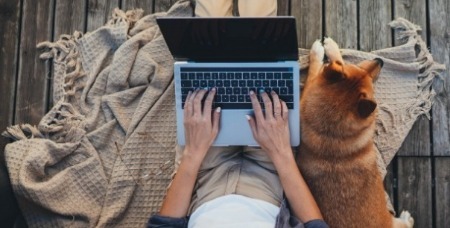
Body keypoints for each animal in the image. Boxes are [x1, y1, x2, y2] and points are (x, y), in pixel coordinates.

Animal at [298, 37, 414, 228]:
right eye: (358, 68)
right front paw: (326, 50)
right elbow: (319, 66)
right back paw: (407, 217)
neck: (330, 133)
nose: (380, 61)